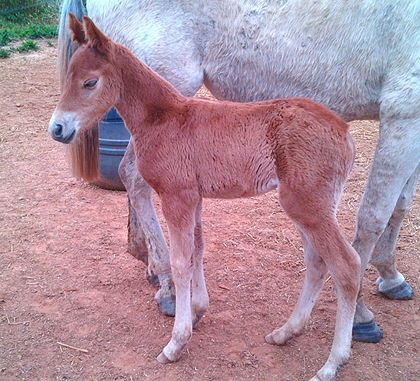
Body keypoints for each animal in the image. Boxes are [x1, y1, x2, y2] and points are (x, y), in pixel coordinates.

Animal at [58, 0, 420, 342]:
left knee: (333, 261)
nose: (58, 128)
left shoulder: (183, 196)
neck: (165, 116)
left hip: (308, 204)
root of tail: (341, 128)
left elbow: (390, 210)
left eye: (90, 82)